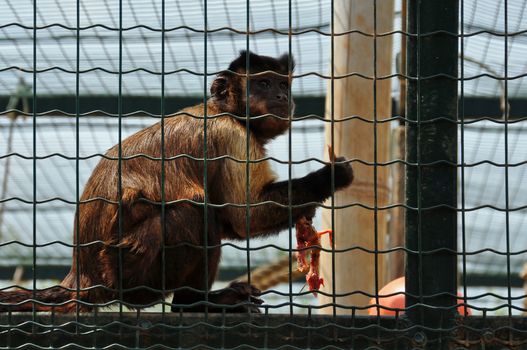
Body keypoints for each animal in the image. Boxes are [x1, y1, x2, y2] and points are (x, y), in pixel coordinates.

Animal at [1, 50, 354, 314]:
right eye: (264, 83)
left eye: (283, 84)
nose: (281, 95)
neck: (223, 110)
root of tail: (82, 277)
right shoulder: (231, 135)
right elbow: (245, 217)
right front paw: (330, 178)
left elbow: (233, 220)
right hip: (126, 268)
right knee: (195, 211)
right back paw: (195, 305)